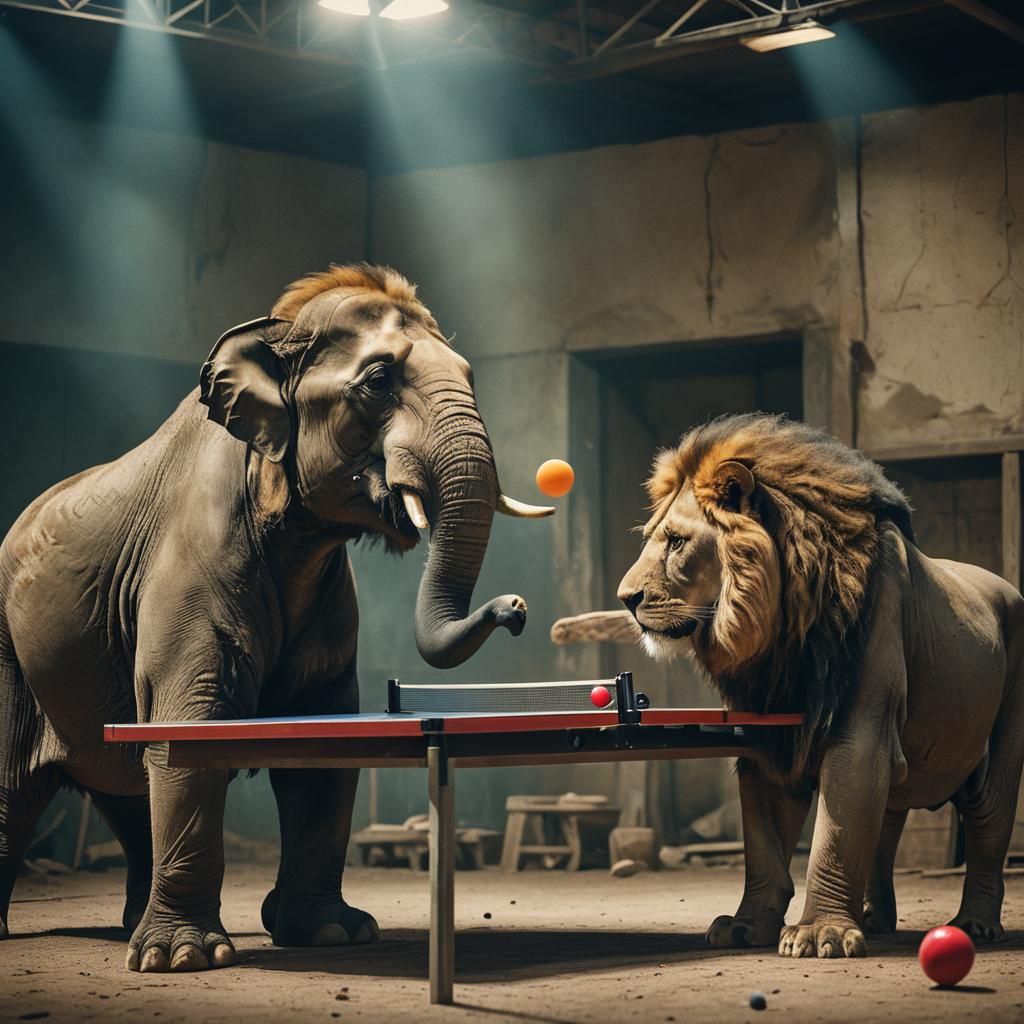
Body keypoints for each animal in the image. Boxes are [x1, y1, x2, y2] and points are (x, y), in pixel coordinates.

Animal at [0, 263, 553, 971]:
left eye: (471, 376)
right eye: (379, 381)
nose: (517, 609)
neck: (275, 332)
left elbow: (325, 740)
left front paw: (334, 934)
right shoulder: (188, 559)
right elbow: (188, 728)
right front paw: (186, 960)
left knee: (123, 789)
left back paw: (133, 929)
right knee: (17, 787)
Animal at [554, 413, 1024, 958]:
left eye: (676, 541)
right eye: (654, 536)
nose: (625, 598)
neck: (779, 633)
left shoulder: (861, 731)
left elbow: (835, 836)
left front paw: (821, 932)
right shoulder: (764, 731)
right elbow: (764, 844)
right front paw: (747, 924)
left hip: (997, 752)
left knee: (988, 829)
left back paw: (975, 923)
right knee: (886, 821)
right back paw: (874, 917)